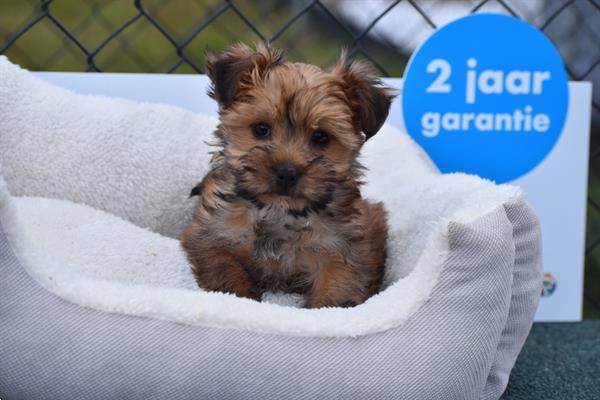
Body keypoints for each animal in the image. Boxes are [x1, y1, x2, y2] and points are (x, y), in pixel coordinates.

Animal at [179, 43, 394, 310]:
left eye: (321, 137)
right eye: (261, 129)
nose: (287, 173)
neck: (278, 211)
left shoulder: (340, 250)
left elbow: (338, 287)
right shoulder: (210, 236)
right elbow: (225, 270)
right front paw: (239, 298)